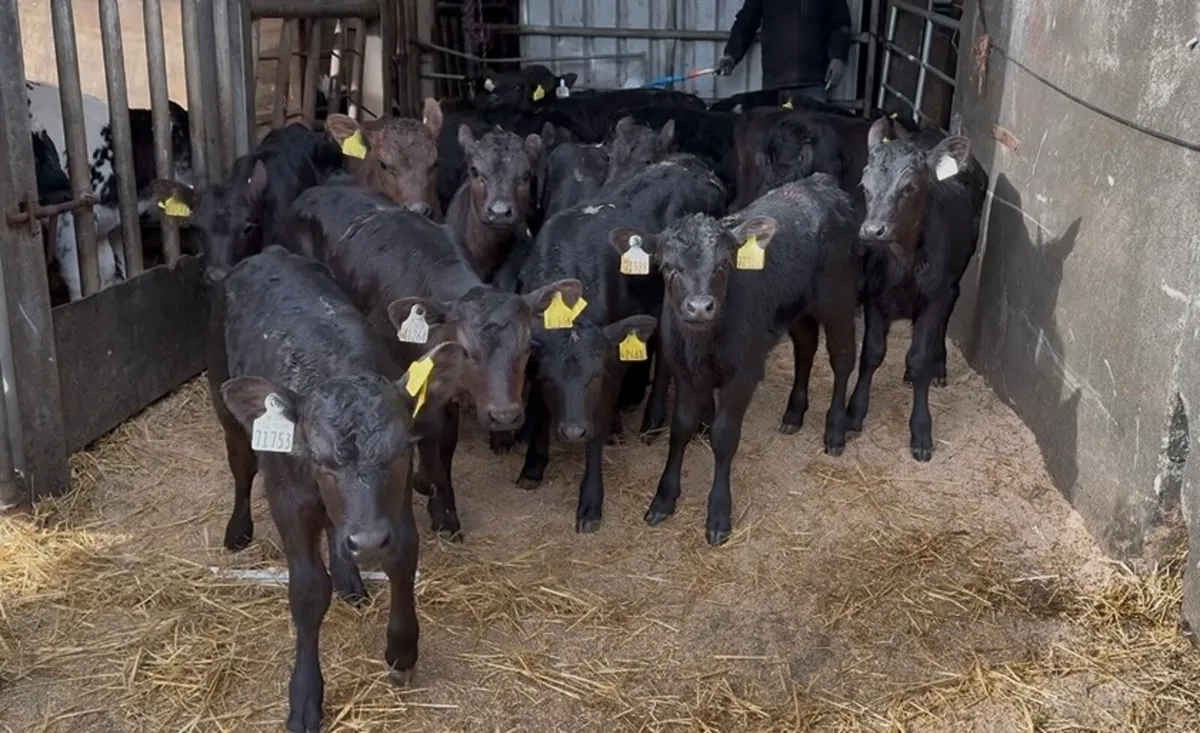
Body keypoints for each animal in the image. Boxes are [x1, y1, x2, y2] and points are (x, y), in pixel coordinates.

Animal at [211, 245, 464, 733]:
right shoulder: (288, 500)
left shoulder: (395, 507)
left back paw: (349, 578)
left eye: (401, 451)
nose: (365, 542)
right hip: (223, 404)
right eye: (320, 460)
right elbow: (309, 591)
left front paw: (402, 650)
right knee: (240, 466)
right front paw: (306, 697)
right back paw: (238, 529)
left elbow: (402, 558)